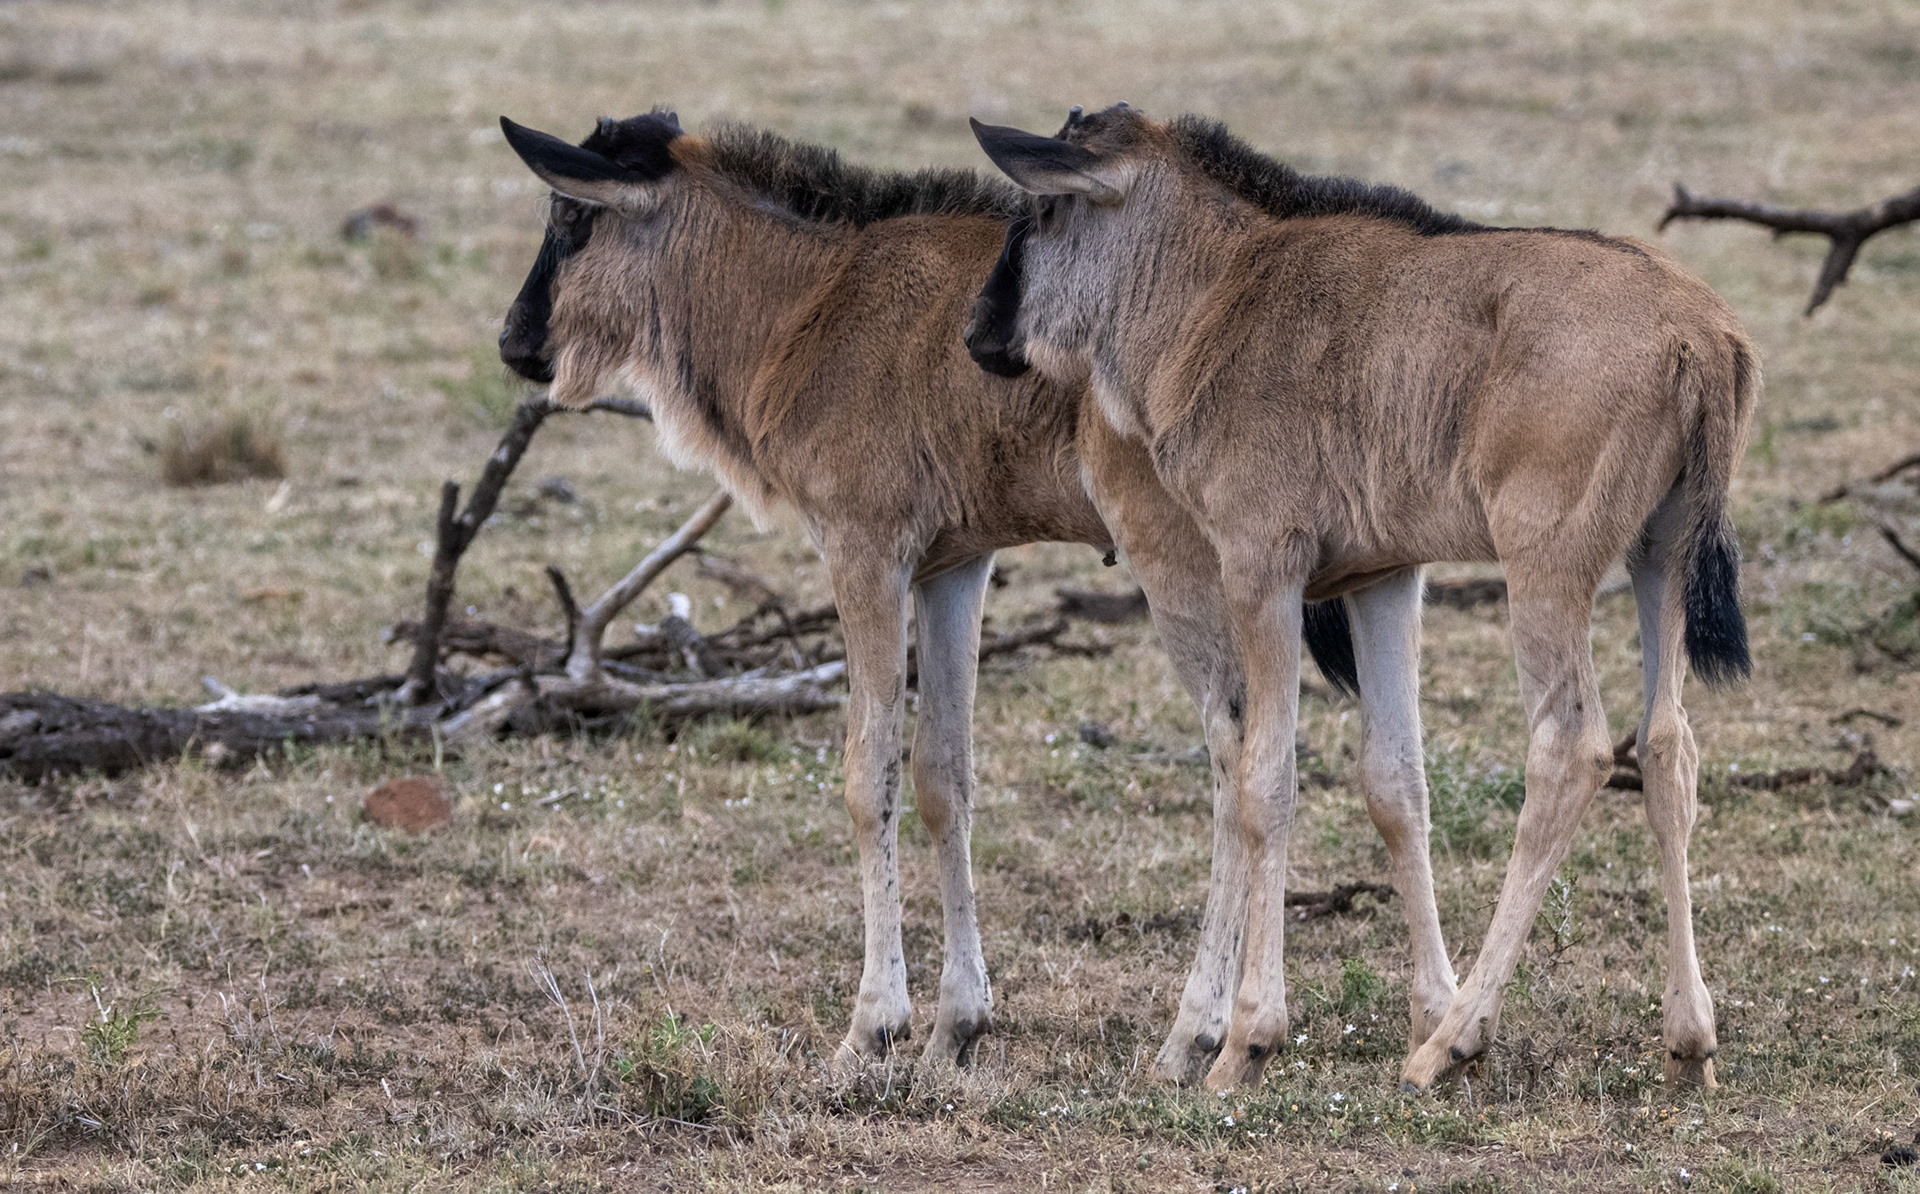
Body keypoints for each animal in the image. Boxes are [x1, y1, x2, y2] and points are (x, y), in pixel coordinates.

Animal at [493, 109, 1391, 1082]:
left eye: (571, 217)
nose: (513, 342)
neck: (814, 301)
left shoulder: (864, 551)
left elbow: (869, 772)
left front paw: (873, 1025)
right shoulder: (953, 567)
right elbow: (941, 776)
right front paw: (957, 1024)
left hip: (1180, 567)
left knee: (1237, 760)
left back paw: (1197, 1034)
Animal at [966, 104, 1756, 1093]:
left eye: (1040, 215)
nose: (977, 332)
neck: (1216, 289)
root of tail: (1701, 332)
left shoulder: (1260, 568)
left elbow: (1263, 783)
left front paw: (1246, 1040)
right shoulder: (1385, 579)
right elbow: (1394, 782)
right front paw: (1427, 1003)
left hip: (1544, 571)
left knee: (1571, 749)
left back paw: (1453, 1043)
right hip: (1660, 561)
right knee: (1666, 747)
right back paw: (1686, 1039)